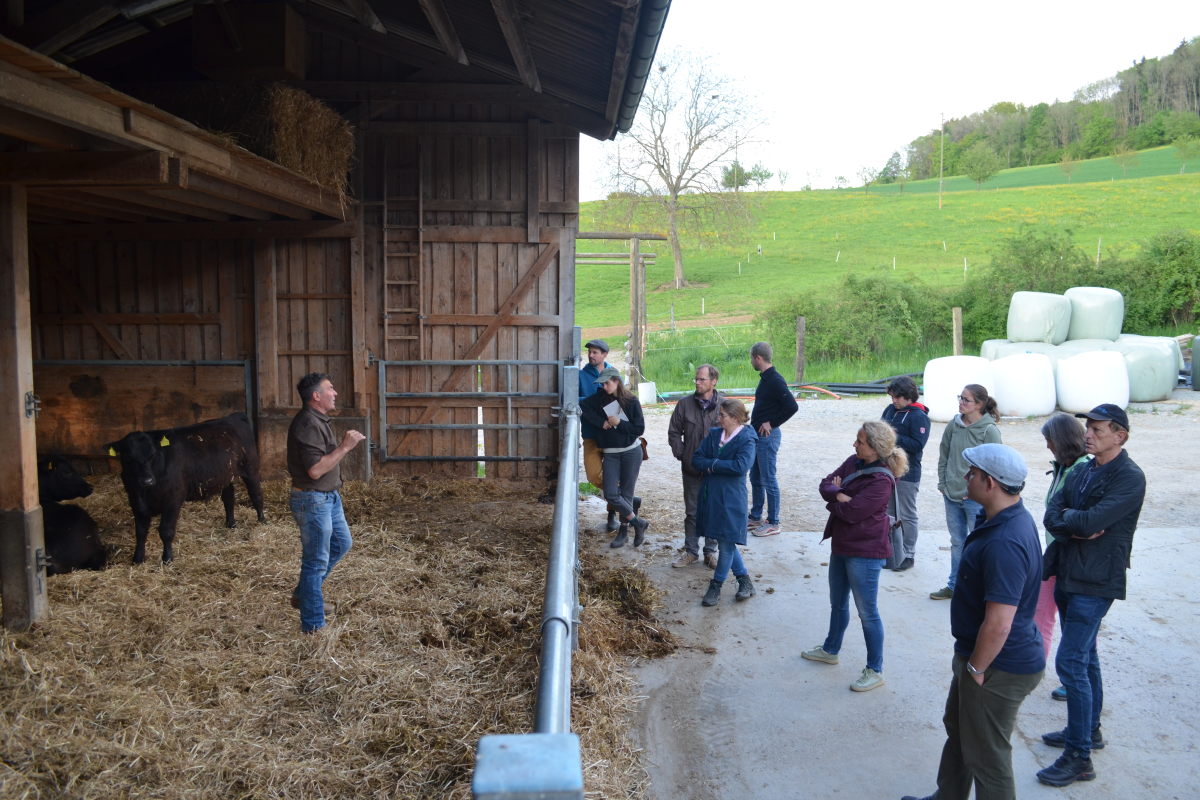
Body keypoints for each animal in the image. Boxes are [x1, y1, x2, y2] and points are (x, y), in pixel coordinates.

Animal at [104, 412, 265, 564]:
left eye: (153, 455)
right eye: (127, 457)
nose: (146, 480)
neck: (145, 492)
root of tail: (233, 417)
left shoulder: (173, 500)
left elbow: (166, 531)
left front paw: (167, 559)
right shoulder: (135, 502)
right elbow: (141, 532)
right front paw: (138, 559)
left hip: (251, 468)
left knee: (256, 496)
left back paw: (262, 521)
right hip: (225, 475)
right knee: (229, 498)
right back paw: (231, 525)